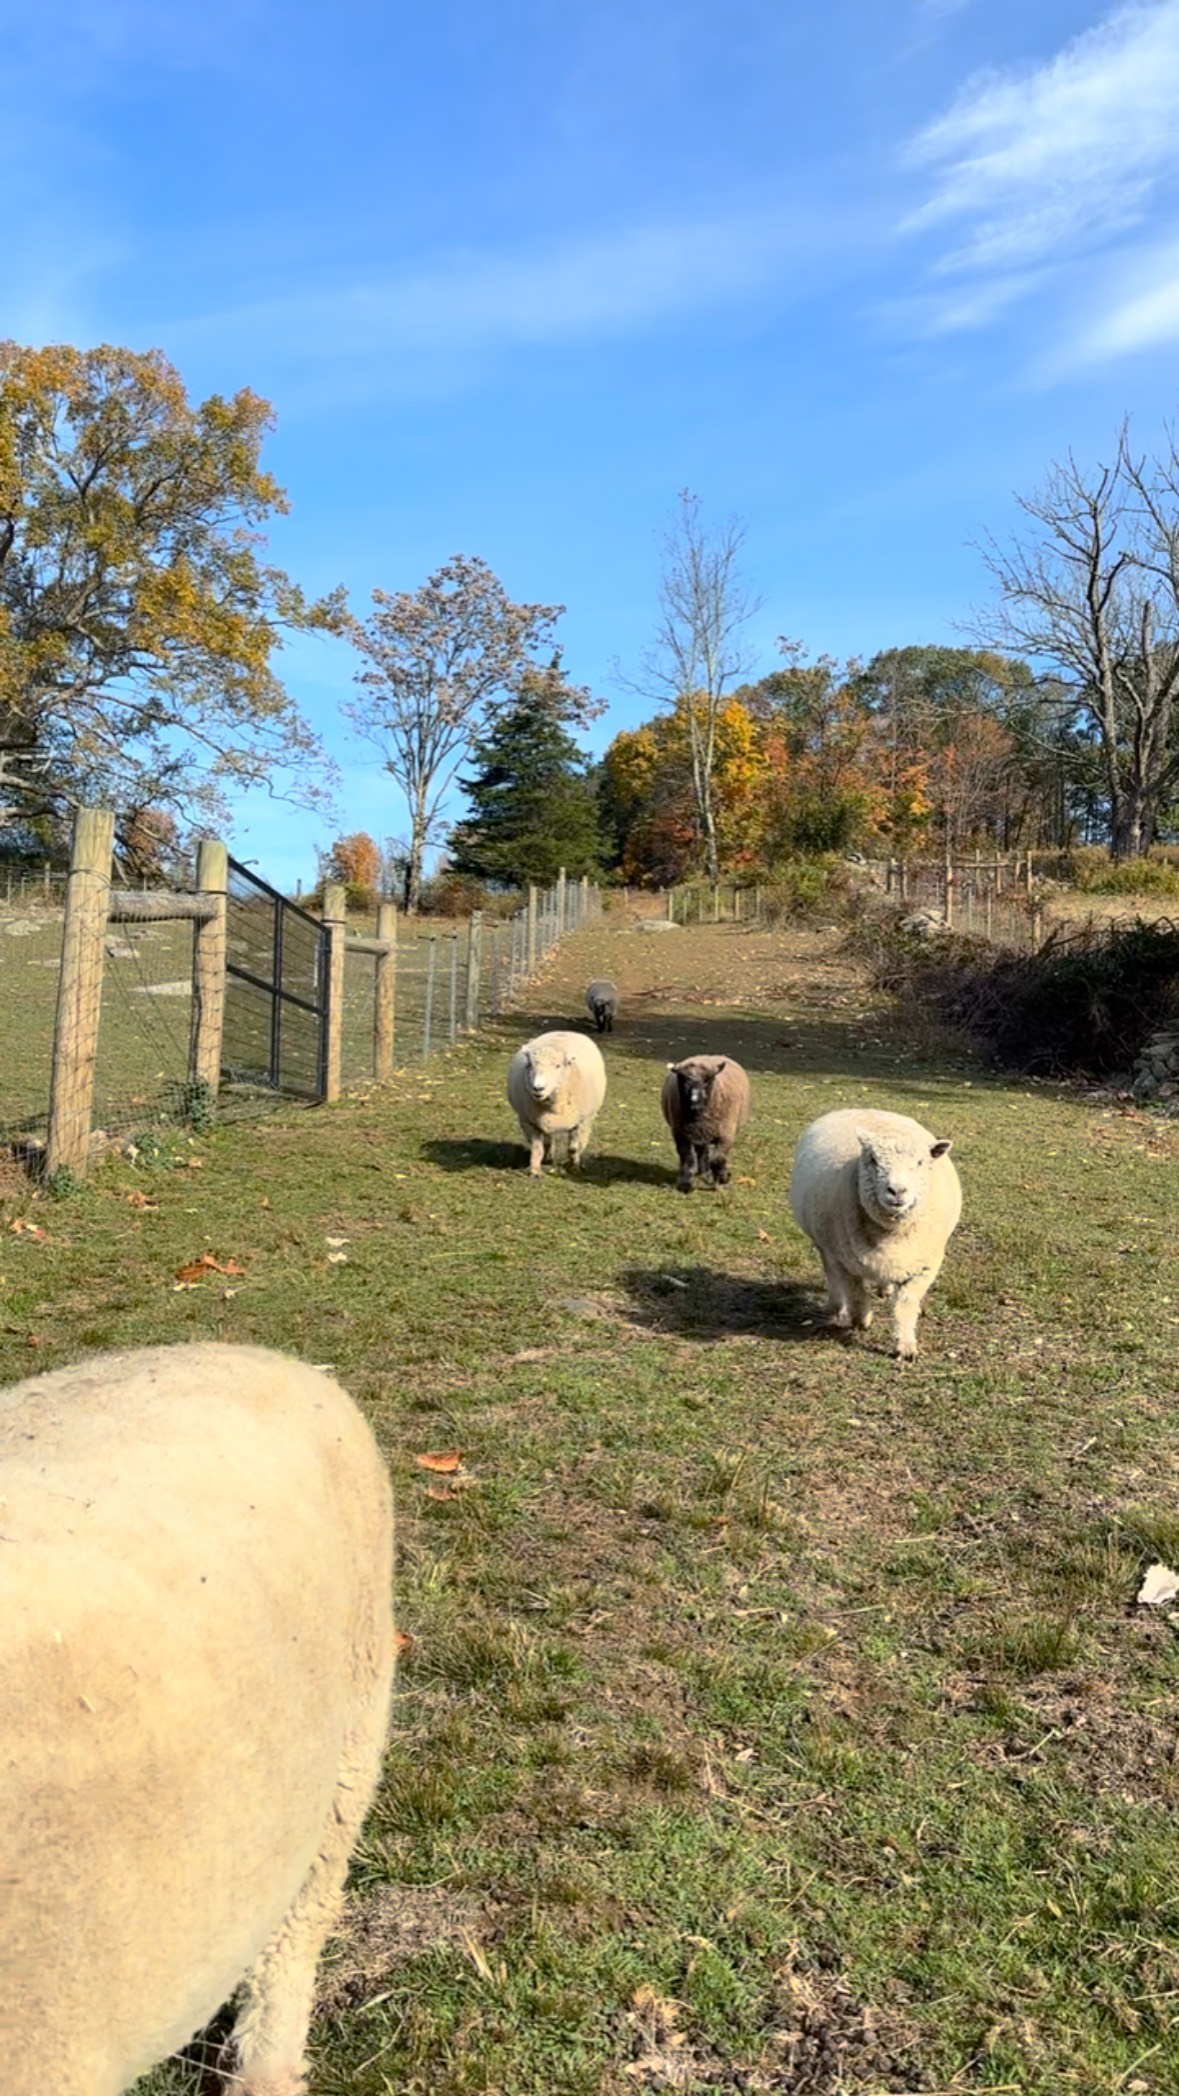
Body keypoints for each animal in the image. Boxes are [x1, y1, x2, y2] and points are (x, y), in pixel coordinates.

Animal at [508, 1028, 607, 1175]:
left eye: (558, 1066)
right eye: (530, 1065)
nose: (538, 1088)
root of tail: (565, 1031)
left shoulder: (580, 1122)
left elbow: (573, 1148)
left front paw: (574, 1167)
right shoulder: (528, 1122)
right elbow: (537, 1148)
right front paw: (535, 1170)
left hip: (588, 1119)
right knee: (548, 1141)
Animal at [661, 1054, 751, 1192]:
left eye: (708, 1079)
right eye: (682, 1079)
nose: (694, 1104)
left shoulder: (727, 1134)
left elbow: (718, 1159)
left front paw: (723, 1178)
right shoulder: (681, 1134)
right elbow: (687, 1157)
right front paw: (685, 1184)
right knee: (702, 1152)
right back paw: (703, 1172)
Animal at [789, 1107, 962, 1359]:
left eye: (920, 1162)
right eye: (873, 1160)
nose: (897, 1191)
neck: (892, 1231)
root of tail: (859, 1108)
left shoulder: (925, 1266)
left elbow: (906, 1305)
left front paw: (905, 1346)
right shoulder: (843, 1260)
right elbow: (856, 1292)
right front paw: (862, 1320)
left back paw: (885, 1289)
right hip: (825, 1245)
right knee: (833, 1276)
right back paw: (837, 1306)